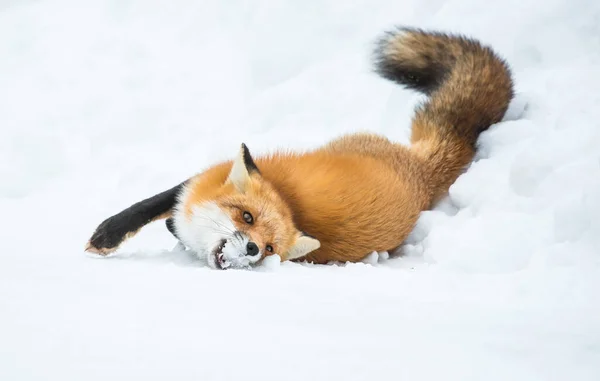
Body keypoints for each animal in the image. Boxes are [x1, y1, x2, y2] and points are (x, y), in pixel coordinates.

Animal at [85, 26, 516, 268]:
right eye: (246, 217)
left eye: (270, 247)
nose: (253, 249)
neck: (289, 200)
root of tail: (422, 173)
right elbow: (152, 205)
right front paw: (111, 234)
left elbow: (162, 208)